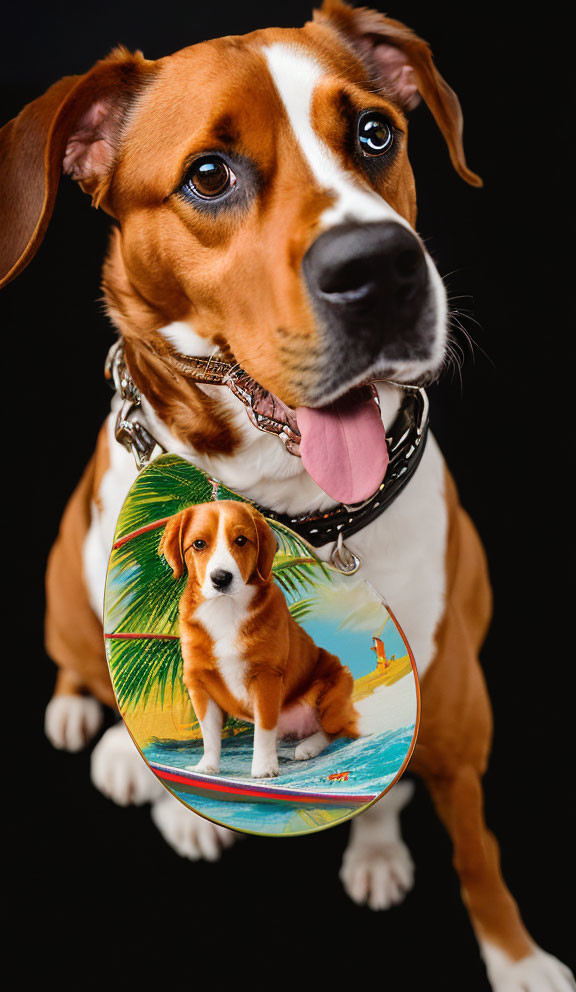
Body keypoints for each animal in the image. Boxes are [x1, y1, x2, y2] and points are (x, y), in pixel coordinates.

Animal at [158, 500, 358, 780]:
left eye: (241, 540)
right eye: (198, 544)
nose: (221, 578)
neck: (225, 610)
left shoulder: (265, 677)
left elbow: (264, 729)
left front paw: (263, 767)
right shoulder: (198, 682)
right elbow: (210, 735)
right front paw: (208, 766)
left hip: (330, 693)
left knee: (339, 728)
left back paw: (307, 747)